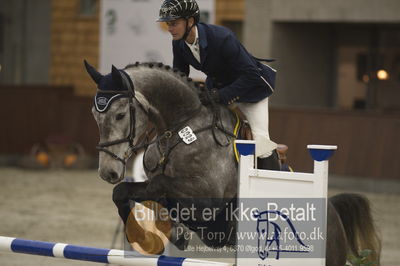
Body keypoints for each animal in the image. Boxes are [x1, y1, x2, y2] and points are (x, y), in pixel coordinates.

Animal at [85, 61, 382, 264]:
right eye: (94, 115)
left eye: (120, 115)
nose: (107, 172)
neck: (181, 127)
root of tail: (333, 213)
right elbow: (128, 193)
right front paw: (161, 236)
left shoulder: (205, 199)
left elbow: (158, 186)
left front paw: (152, 236)